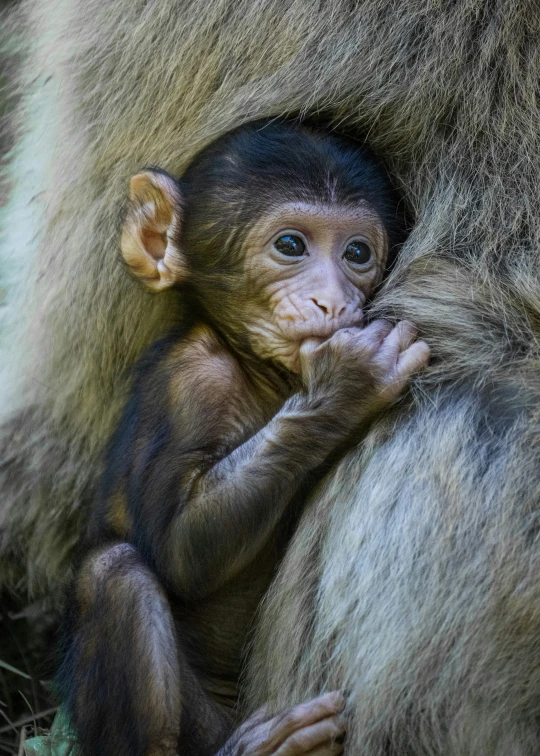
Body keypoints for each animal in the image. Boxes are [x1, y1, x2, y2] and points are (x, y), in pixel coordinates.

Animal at [60, 119, 430, 756]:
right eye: (291, 246)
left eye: (357, 253)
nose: (333, 299)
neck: (257, 371)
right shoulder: (190, 387)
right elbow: (183, 548)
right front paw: (345, 384)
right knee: (116, 575)